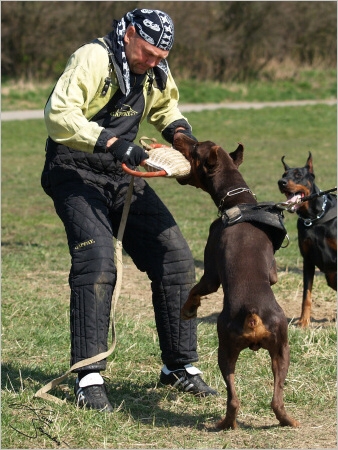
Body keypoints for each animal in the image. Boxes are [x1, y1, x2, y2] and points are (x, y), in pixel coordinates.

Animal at [174, 134, 298, 428]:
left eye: (195, 149)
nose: (179, 135)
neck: (237, 201)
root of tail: (252, 315)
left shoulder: (211, 273)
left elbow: (197, 289)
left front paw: (188, 310)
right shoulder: (272, 272)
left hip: (226, 348)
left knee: (234, 400)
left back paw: (223, 425)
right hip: (281, 350)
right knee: (275, 399)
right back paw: (287, 421)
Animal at [278, 152, 336, 326]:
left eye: (298, 175)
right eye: (284, 174)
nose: (281, 182)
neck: (313, 218)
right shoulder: (308, 259)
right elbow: (306, 295)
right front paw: (304, 322)